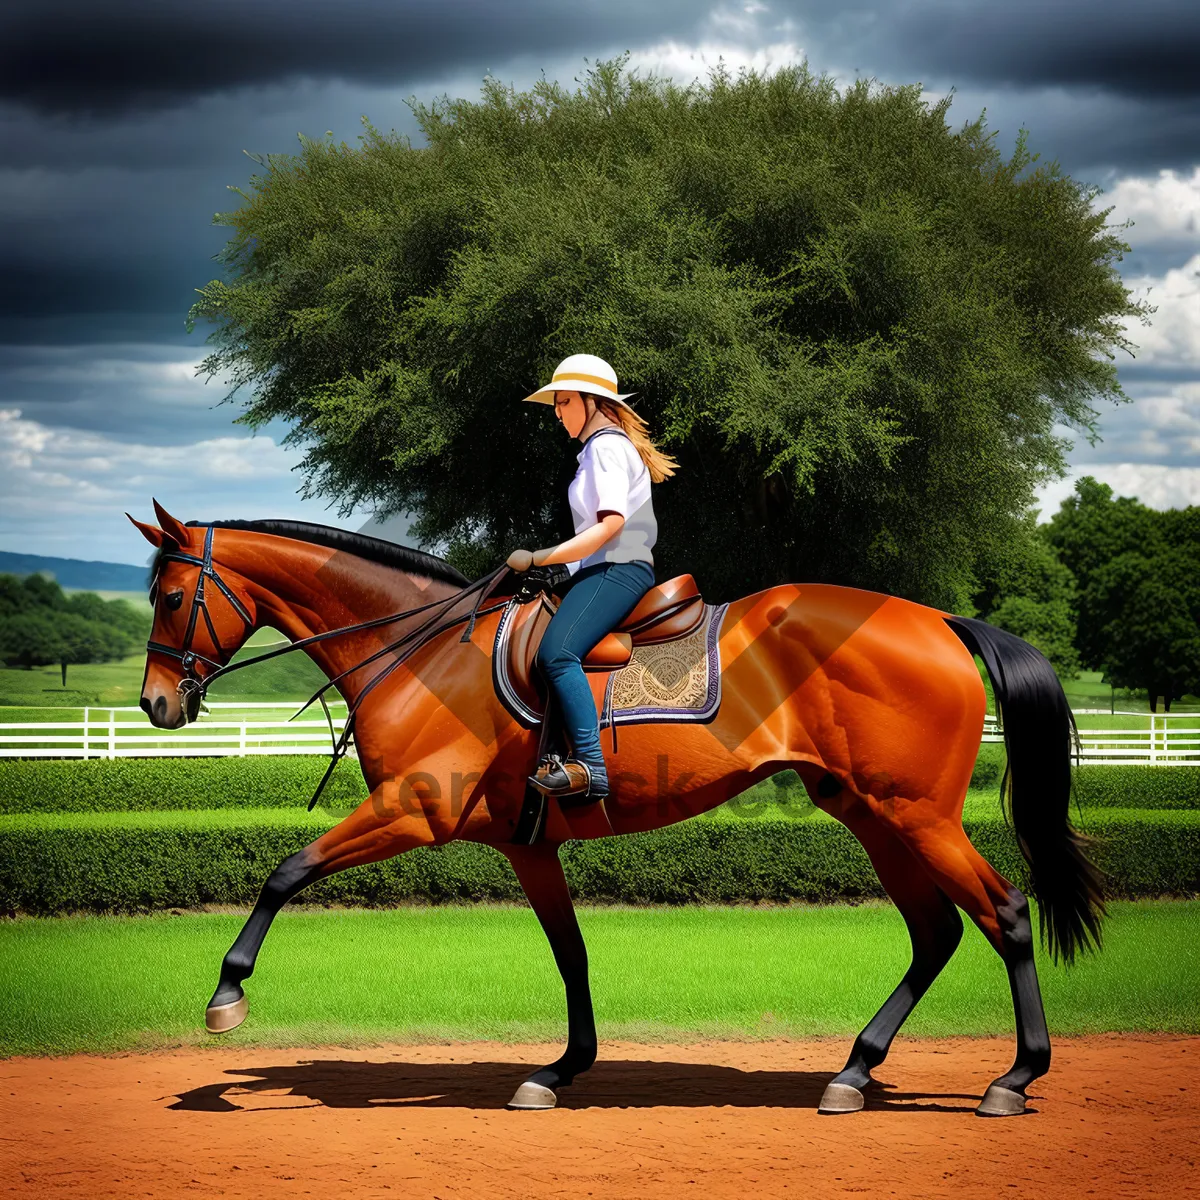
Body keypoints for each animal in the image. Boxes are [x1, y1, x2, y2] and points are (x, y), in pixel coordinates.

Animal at [129, 501, 1104, 1118]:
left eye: (172, 597)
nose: (154, 705)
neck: (420, 646)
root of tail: (936, 619)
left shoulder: (411, 811)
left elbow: (285, 870)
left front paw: (227, 993)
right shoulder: (524, 845)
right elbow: (572, 955)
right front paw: (561, 1071)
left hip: (916, 815)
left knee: (1006, 915)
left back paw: (1014, 1079)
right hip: (871, 814)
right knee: (936, 932)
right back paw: (854, 1073)